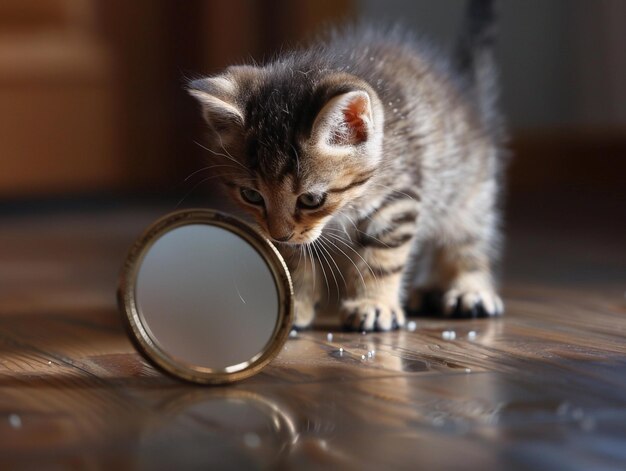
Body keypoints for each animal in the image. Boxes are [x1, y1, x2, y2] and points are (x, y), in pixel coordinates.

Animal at [188, 0, 504, 332]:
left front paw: (374, 304)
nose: (279, 236)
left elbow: (382, 258)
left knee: (468, 240)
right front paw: (294, 305)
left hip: (469, 189)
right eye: (251, 196)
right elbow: (295, 260)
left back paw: (468, 288)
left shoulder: (397, 200)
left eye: (311, 200)